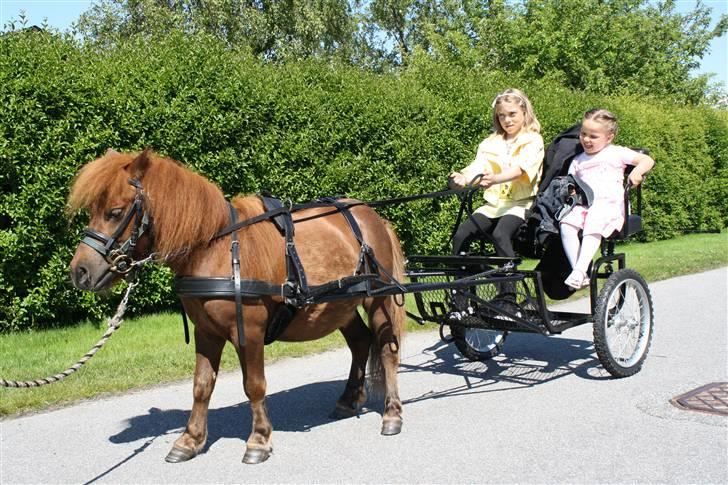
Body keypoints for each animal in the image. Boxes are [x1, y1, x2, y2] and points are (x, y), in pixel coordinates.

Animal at [66, 149, 406, 464]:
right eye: (93, 210)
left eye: (114, 212)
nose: (80, 272)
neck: (214, 249)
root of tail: (370, 215)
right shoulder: (206, 332)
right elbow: (201, 385)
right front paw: (190, 440)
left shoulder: (249, 332)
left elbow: (254, 385)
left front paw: (258, 440)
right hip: (340, 305)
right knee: (360, 342)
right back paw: (348, 400)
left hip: (378, 299)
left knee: (386, 349)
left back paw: (392, 414)